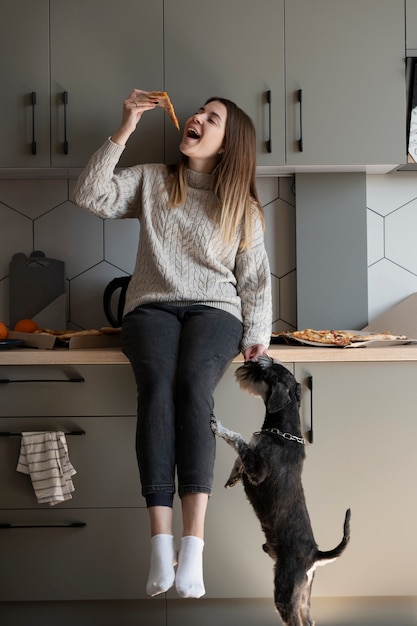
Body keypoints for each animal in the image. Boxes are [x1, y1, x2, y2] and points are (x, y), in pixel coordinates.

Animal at [210, 356, 350, 624]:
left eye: (263, 370)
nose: (246, 364)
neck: (284, 431)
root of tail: (315, 555)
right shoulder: (252, 462)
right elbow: (242, 454)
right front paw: (232, 478)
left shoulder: (258, 470)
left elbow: (239, 440)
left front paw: (218, 425)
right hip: (304, 593)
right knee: (309, 619)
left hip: (285, 591)